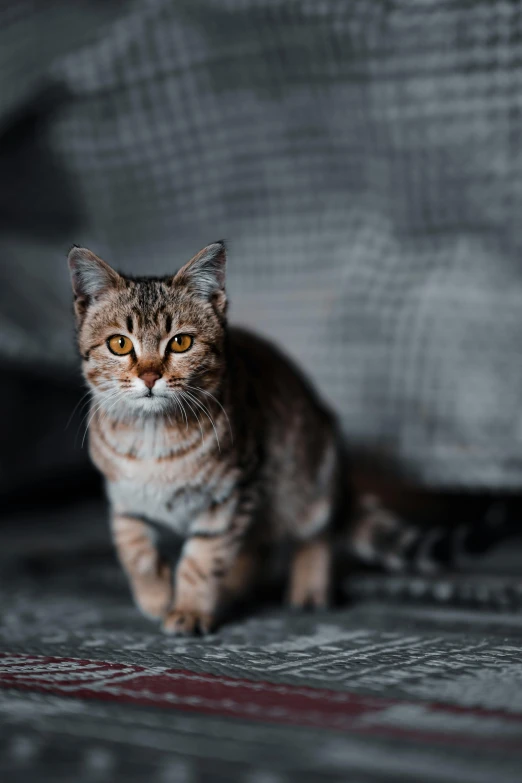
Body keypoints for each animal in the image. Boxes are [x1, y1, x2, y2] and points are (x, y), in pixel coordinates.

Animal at [66, 242, 508, 632]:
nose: (150, 376)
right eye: (119, 343)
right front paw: (156, 597)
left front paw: (189, 609)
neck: (153, 437)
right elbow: (134, 550)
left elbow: (202, 560)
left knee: (313, 533)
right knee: (258, 546)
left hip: (305, 479)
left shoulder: (230, 494)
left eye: (181, 342)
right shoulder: (124, 496)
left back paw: (306, 587)